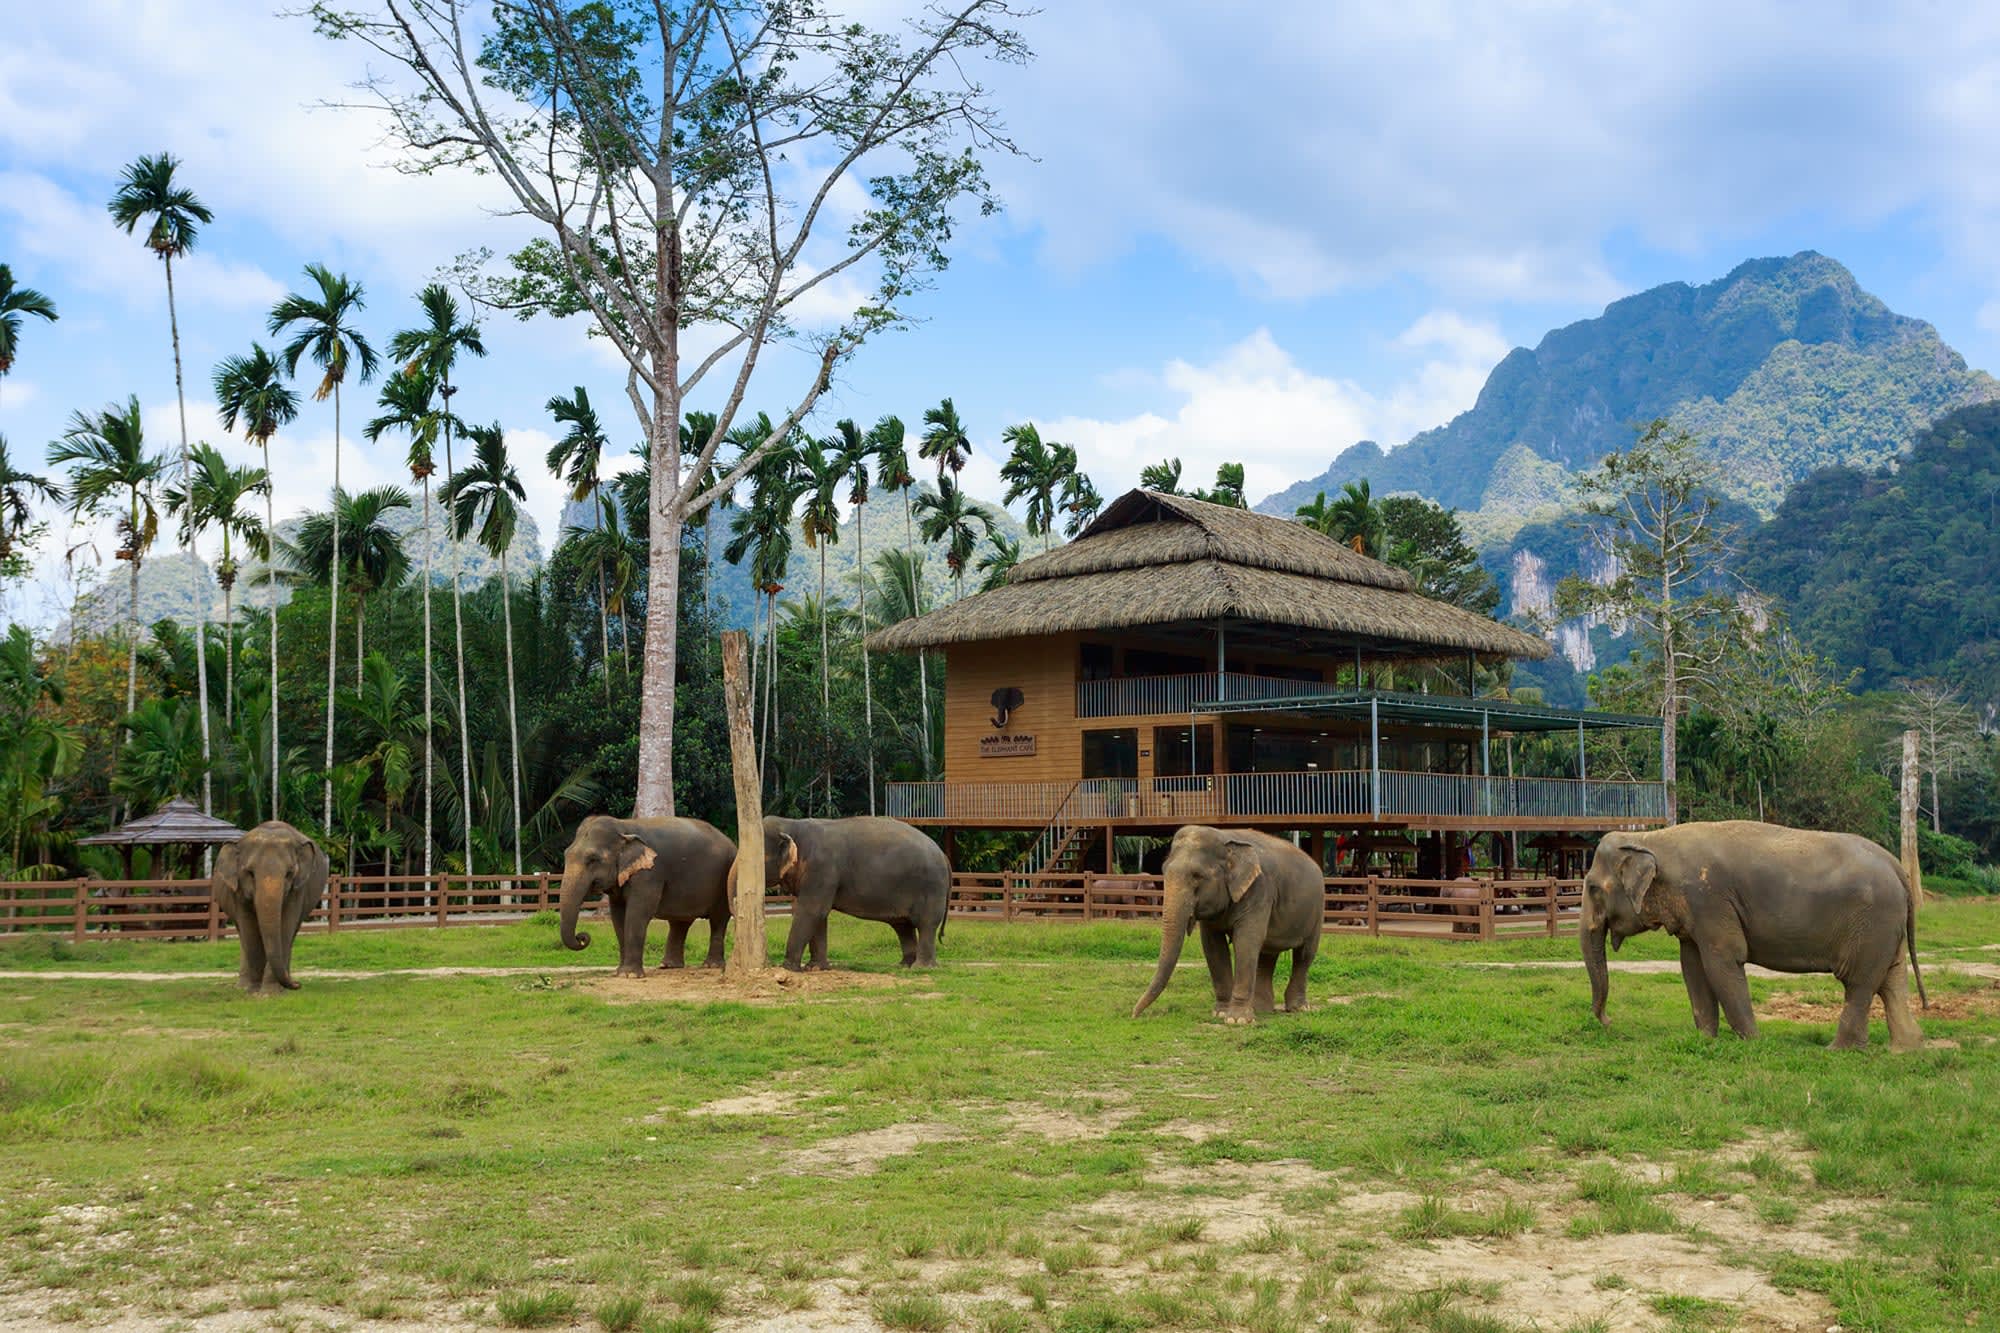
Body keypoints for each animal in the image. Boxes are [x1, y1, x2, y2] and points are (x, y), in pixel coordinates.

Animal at [211, 821, 329, 993]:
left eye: (289, 873)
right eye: (250, 873)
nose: (298, 984)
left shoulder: (297, 889)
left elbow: (285, 927)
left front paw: (270, 992)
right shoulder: (238, 890)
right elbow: (249, 929)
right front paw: (254, 990)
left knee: (292, 933)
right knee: (242, 935)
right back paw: (243, 986)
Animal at [558, 815, 736, 977]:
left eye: (593, 859)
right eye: (566, 855)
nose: (582, 937)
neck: (624, 827)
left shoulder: (649, 874)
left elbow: (638, 913)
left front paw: (629, 975)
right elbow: (618, 916)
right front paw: (619, 972)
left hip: (724, 882)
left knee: (718, 920)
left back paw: (711, 966)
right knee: (680, 922)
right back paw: (668, 966)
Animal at [741, 816, 950, 970]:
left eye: (758, 857)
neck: (793, 824)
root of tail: (944, 857)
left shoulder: (822, 869)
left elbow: (812, 910)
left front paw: (788, 968)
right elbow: (819, 915)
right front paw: (815, 968)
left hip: (931, 889)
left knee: (926, 924)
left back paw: (921, 968)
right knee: (903, 925)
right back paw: (904, 966)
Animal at [1132, 826, 1323, 1025]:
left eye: (1197, 876)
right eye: (1163, 871)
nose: (1133, 1015)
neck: (1225, 838)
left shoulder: (1259, 890)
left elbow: (1246, 941)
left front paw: (1237, 1020)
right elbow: (1213, 947)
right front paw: (1221, 1013)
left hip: (1316, 911)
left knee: (1304, 955)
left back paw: (1298, 1008)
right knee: (1267, 956)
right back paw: (1261, 1008)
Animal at [1583, 821, 1927, 1051]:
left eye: (1593, 888)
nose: (1610, 1023)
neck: (1650, 838)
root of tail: (1897, 867)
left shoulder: (1709, 899)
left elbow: (1722, 961)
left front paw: (1751, 1042)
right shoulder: (1695, 914)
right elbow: (1692, 967)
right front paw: (1705, 1039)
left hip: (1872, 922)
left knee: (1859, 983)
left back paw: (1839, 1050)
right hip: (1885, 927)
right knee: (1892, 979)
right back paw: (1905, 1049)